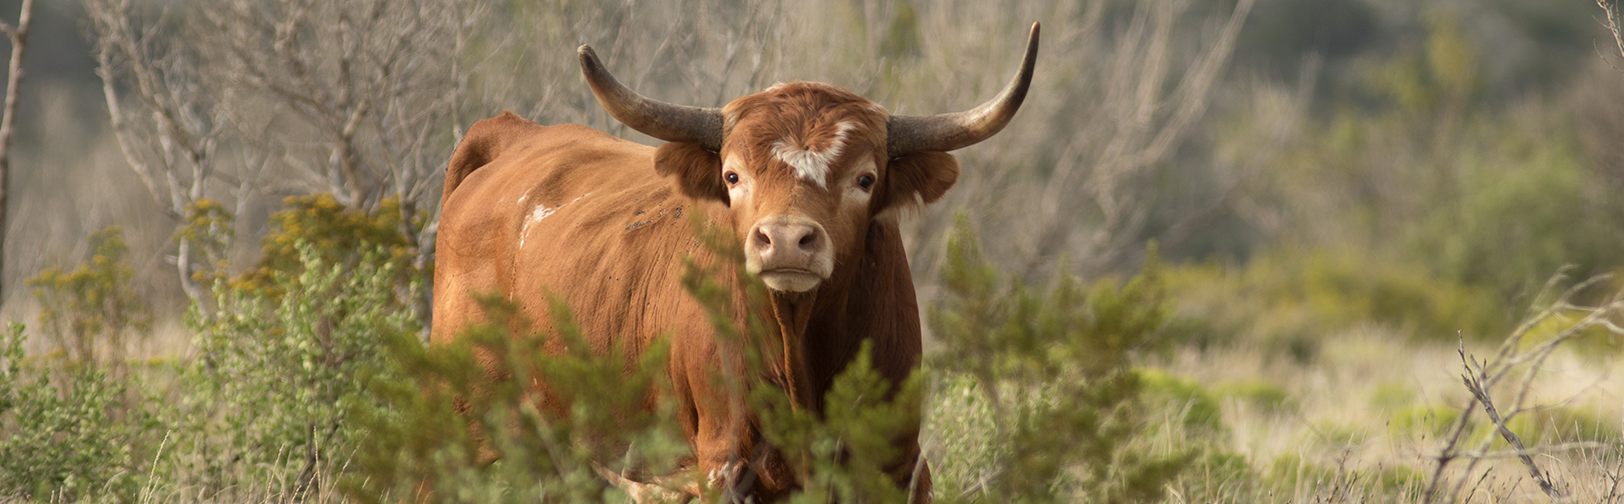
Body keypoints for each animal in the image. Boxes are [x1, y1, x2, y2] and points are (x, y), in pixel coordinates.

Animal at [431, 22, 1039, 500]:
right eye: (732, 175)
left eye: (865, 178)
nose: (787, 239)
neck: (800, 356)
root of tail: (514, 134)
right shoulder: (725, 464)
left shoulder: (896, 463)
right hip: (460, 428)